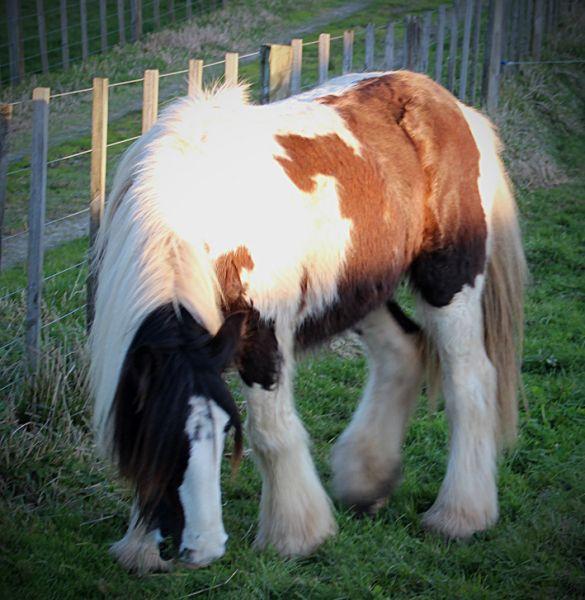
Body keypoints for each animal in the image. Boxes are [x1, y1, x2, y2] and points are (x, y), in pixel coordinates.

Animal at [90, 69, 524, 572]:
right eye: (161, 441)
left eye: (225, 432)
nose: (204, 547)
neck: (198, 212)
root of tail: (452, 106)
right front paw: (140, 548)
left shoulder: (262, 331)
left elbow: (272, 432)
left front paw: (295, 535)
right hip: (361, 286)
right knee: (402, 354)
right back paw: (366, 481)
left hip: (449, 280)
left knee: (469, 381)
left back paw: (459, 515)